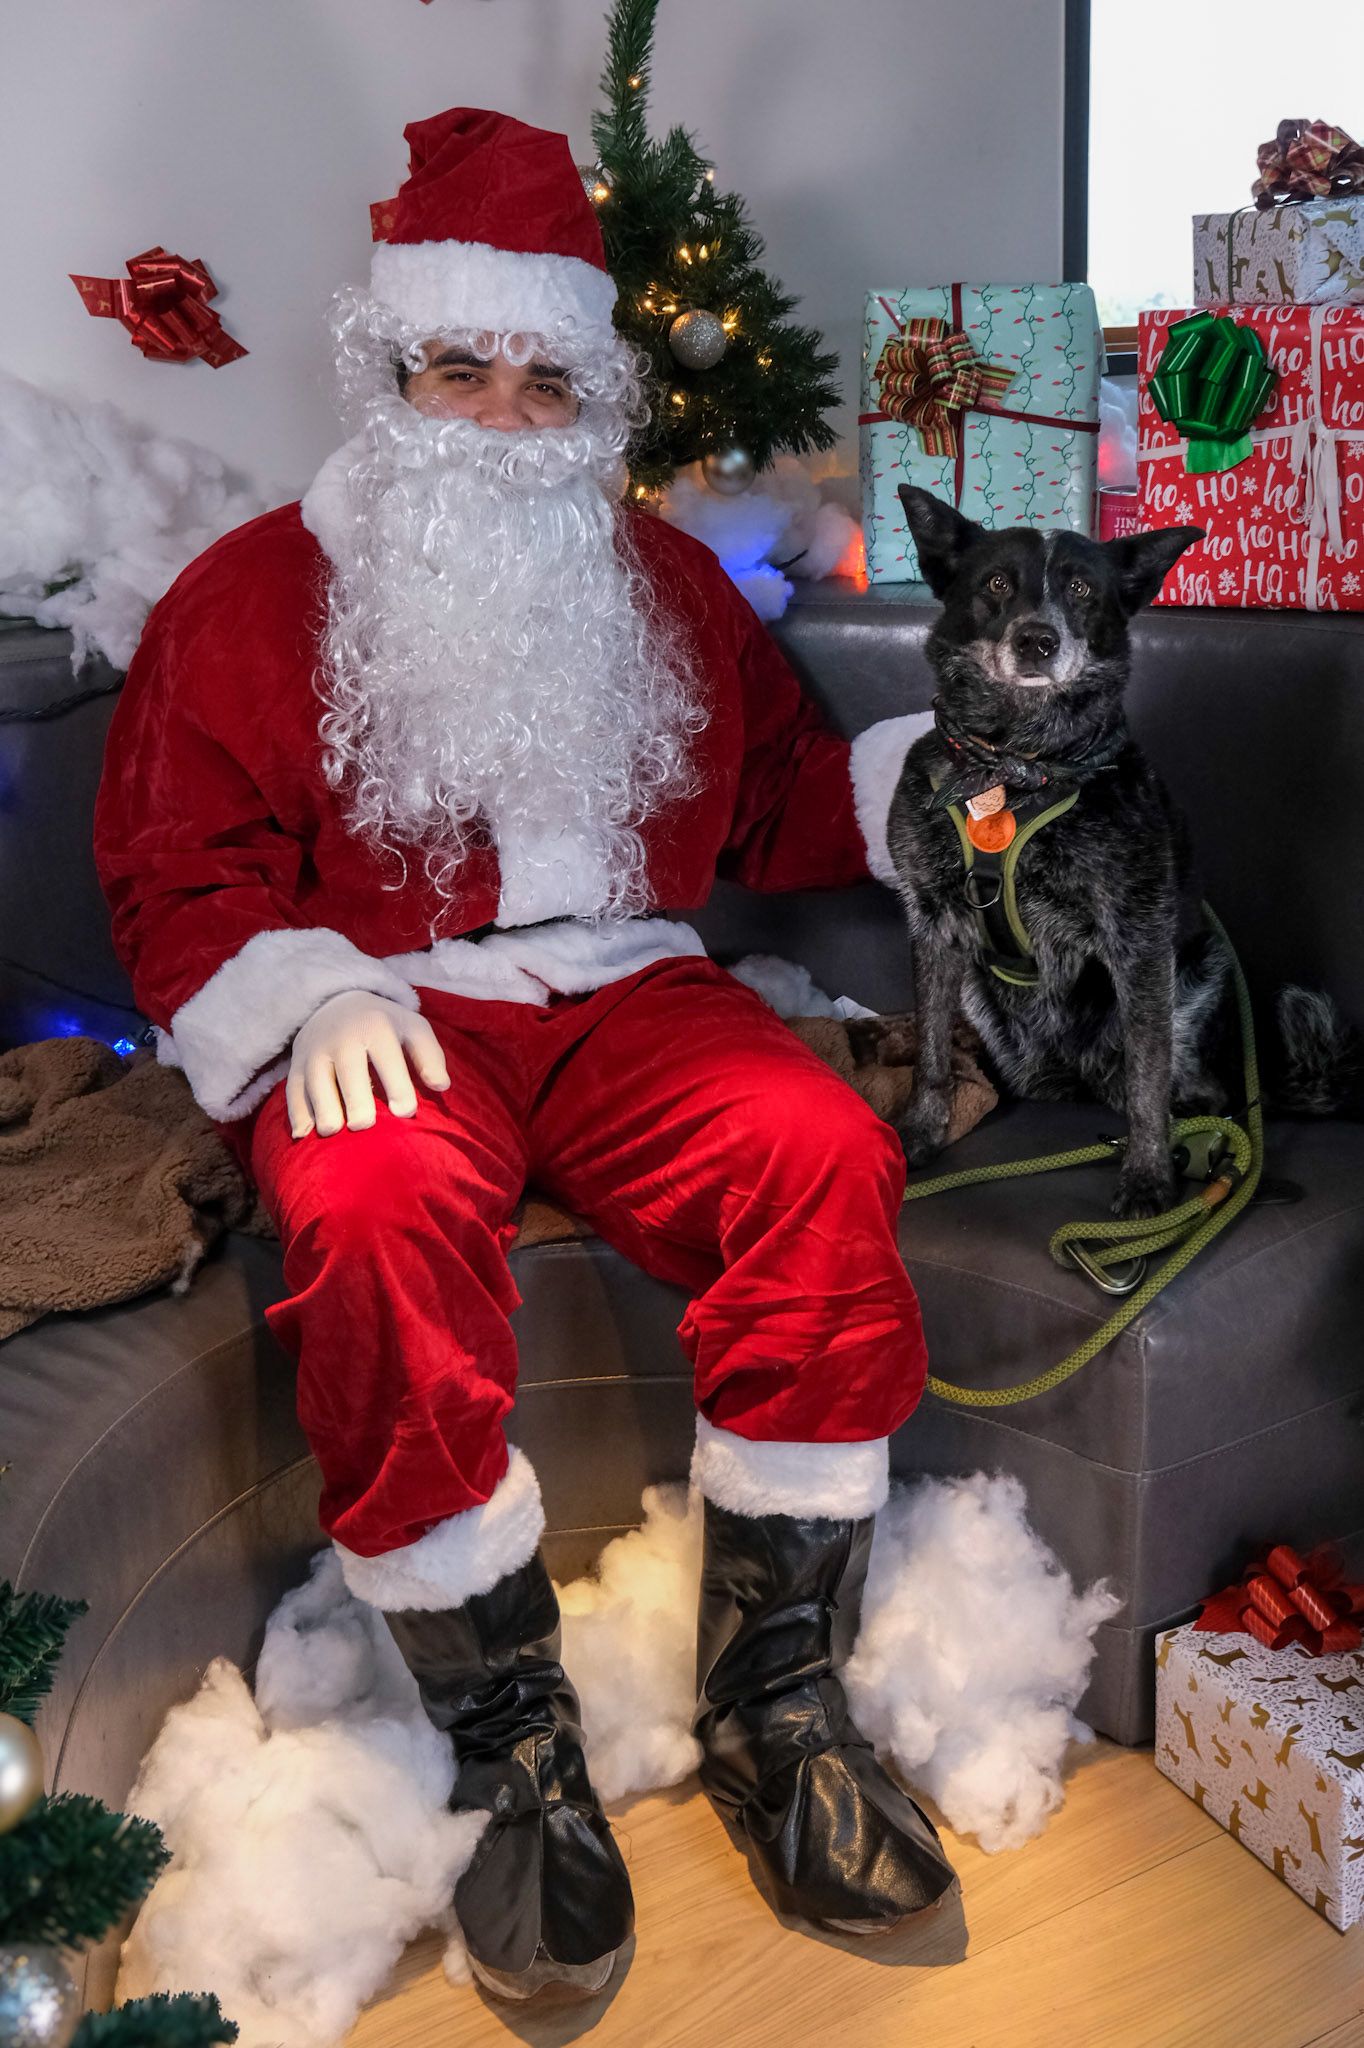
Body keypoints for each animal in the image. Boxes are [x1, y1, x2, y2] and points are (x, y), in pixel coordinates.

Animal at [882, 485, 1221, 1221]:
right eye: (996, 584)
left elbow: (1150, 1071)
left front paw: (1149, 1175)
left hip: (1202, 956)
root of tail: (1071, 1074)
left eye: (1082, 588)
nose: (1037, 639)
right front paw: (921, 1132)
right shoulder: (932, 923)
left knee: (1161, 1066)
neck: (1015, 769)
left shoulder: (1139, 936)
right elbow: (929, 1050)